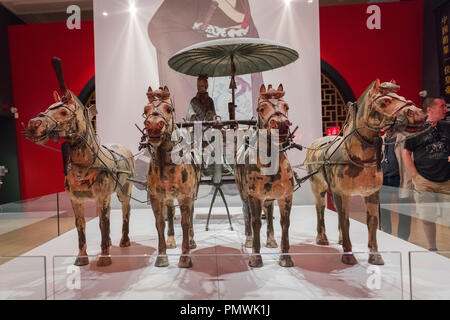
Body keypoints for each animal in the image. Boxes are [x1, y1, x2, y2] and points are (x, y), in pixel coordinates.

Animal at [24, 58, 134, 268]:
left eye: (63, 111)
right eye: (48, 107)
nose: (33, 125)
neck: (87, 165)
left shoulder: (103, 197)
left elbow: (103, 223)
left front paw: (104, 258)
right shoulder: (76, 201)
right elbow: (81, 225)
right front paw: (82, 258)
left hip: (125, 190)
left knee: (125, 210)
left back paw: (124, 241)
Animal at [144, 85, 200, 268]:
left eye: (169, 109)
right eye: (145, 110)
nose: (154, 126)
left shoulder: (185, 196)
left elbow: (185, 222)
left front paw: (185, 257)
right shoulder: (156, 197)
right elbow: (160, 222)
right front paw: (162, 255)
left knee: (190, 214)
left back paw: (192, 240)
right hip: (168, 196)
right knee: (170, 211)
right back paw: (170, 240)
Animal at [236, 84, 296, 268]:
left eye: (286, 106)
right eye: (261, 109)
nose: (281, 124)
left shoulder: (286, 196)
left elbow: (285, 223)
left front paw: (286, 258)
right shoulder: (254, 196)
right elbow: (256, 222)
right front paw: (255, 258)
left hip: (269, 198)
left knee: (269, 213)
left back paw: (271, 241)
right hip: (244, 193)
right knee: (246, 213)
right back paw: (248, 240)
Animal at [306, 80, 426, 264]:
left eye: (401, 96)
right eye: (385, 101)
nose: (419, 114)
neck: (356, 156)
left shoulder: (371, 194)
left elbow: (372, 223)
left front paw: (375, 256)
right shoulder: (342, 194)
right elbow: (346, 221)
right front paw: (348, 255)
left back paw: (339, 239)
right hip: (318, 188)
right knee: (320, 209)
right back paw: (322, 239)